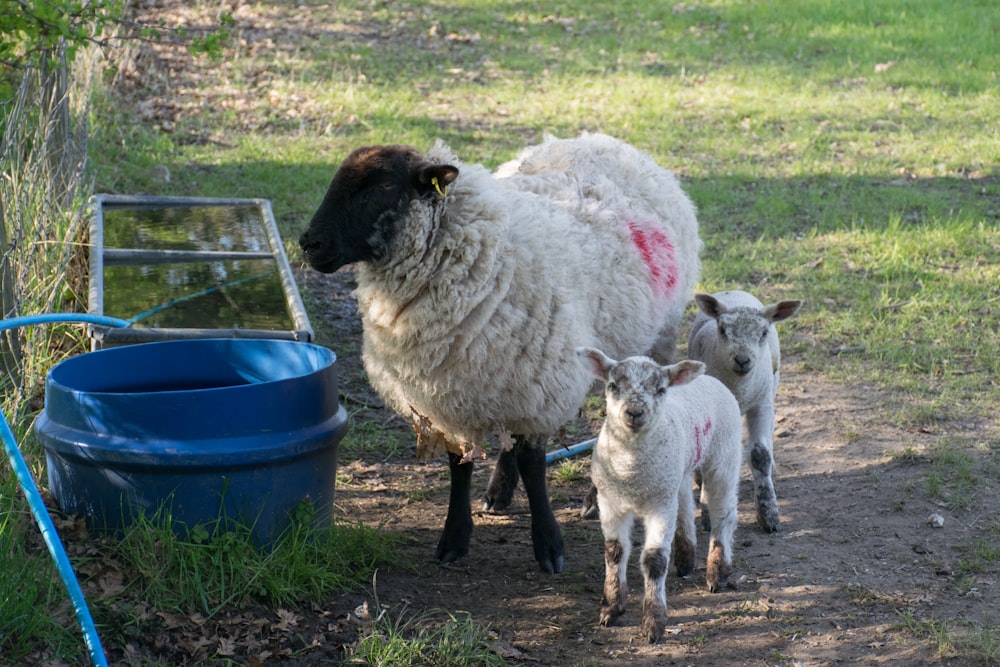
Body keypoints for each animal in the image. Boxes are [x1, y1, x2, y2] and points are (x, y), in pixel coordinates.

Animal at [300, 132, 700, 576]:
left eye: (384, 185)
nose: (308, 243)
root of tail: (602, 140)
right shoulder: (450, 392)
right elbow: (460, 464)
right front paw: (454, 537)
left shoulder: (541, 384)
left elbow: (532, 464)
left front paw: (548, 545)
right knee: (509, 439)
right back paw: (498, 493)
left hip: (648, 341)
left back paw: (594, 500)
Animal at [580, 348, 744, 644]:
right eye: (613, 386)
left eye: (660, 389)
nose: (634, 412)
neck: (631, 473)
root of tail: (709, 378)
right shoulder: (610, 501)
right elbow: (614, 552)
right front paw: (611, 608)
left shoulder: (659, 505)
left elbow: (654, 560)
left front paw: (653, 624)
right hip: (676, 473)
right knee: (686, 505)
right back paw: (686, 557)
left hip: (723, 455)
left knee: (723, 513)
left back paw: (718, 570)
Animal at [688, 290, 804, 536]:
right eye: (723, 330)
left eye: (763, 332)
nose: (742, 360)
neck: (739, 388)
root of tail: (733, 292)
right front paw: (707, 513)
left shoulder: (762, 405)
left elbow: (760, 455)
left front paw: (769, 514)